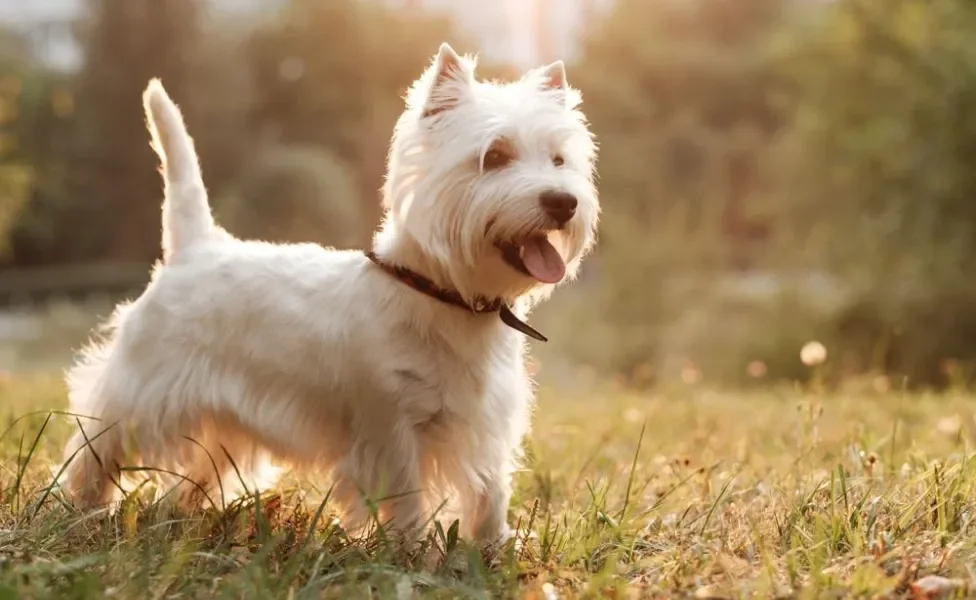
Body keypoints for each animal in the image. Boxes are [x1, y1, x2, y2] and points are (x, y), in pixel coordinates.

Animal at [61, 43, 600, 544]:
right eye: (495, 156)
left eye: (559, 159)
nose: (563, 202)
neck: (445, 294)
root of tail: (195, 246)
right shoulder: (391, 425)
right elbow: (406, 494)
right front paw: (413, 550)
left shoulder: (486, 423)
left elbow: (490, 491)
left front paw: (495, 547)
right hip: (142, 389)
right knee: (96, 445)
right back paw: (83, 509)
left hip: (222, 415)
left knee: (199, 468)